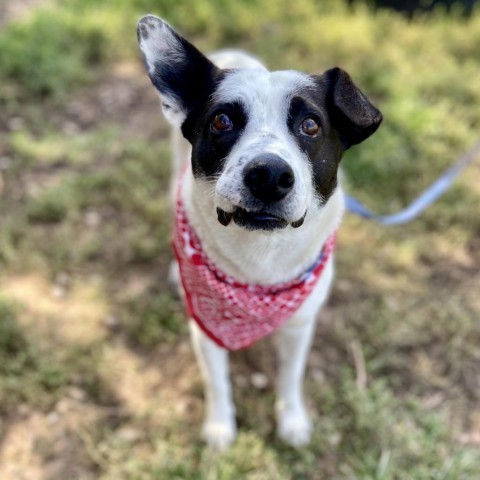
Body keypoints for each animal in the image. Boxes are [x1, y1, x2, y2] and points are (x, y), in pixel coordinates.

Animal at [136, 15, 382, 450]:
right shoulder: (207, 331)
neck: (260, 266)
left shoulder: (300, 325)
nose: (268, 175)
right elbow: (217, 382)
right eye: (221, 121)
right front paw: (220, 427)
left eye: (310, 125)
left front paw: (292, 419)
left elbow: (290, 377)